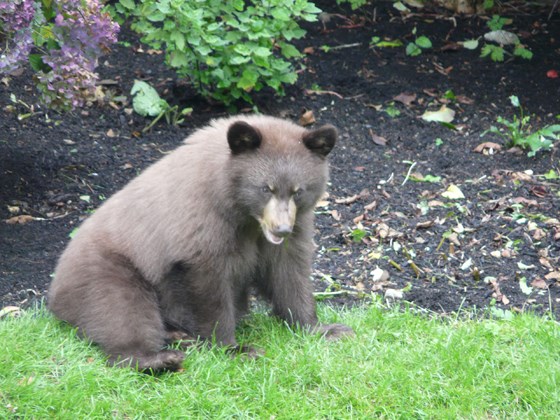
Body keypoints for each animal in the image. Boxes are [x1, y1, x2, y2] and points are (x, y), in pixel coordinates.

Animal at [49, 115, 354, 370]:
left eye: (297, 191)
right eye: (265, 188)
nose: (281, 229)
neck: (243, 214)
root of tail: (55, 289)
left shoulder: (291, 227)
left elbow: (289, 272)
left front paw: (324, 328)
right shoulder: (203, 224)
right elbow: (209, 286)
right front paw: (233, 349)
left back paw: (177, 337)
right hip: (106, 271)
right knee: (122, 313)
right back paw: (158, 358)